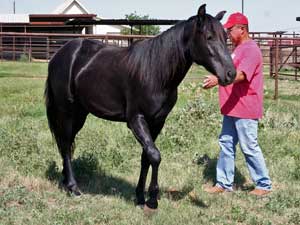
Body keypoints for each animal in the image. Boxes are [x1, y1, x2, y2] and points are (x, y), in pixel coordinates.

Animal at [44, 4, 237, 210]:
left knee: (67, 143)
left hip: (80, 113)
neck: (154, 72)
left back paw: (66, 180)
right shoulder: (136, 120)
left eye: (225, 37)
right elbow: (155, 155)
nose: (231, 74)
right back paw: (73, 187)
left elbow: (146, 157)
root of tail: (60, 54)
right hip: (67, 111)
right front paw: (152, 199)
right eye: (209, 37)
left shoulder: (157, 122)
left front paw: (140, 196)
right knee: (65, 144)